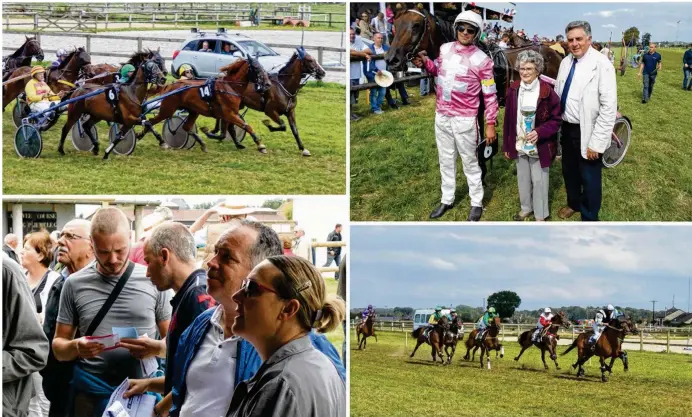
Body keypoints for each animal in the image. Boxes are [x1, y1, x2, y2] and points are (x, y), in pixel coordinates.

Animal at [132, 58, 274, 154]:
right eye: (256, 68)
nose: (268, 84)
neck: (229, 87)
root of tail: (170, 86)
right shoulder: (229, 113)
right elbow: (246, 126)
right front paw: (261, 146)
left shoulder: (228, 114)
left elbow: (228, 131)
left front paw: (238, 143)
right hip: (168, 109)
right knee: (150, 121)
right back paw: (149, 138)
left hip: (193, 111)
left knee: (186, 127)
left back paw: (202, 144)